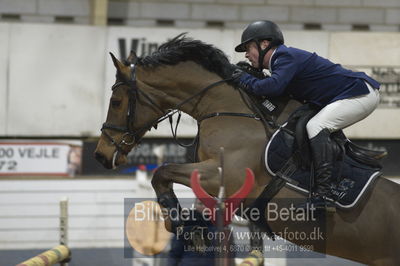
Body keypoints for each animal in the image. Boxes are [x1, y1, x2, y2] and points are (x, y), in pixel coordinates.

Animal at [96, 35, 400, 266]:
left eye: (116, 101)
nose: (100, 155)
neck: (224, 107)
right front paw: (190, 228)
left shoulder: (225, 175)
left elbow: (162, 171)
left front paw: (176, 220)